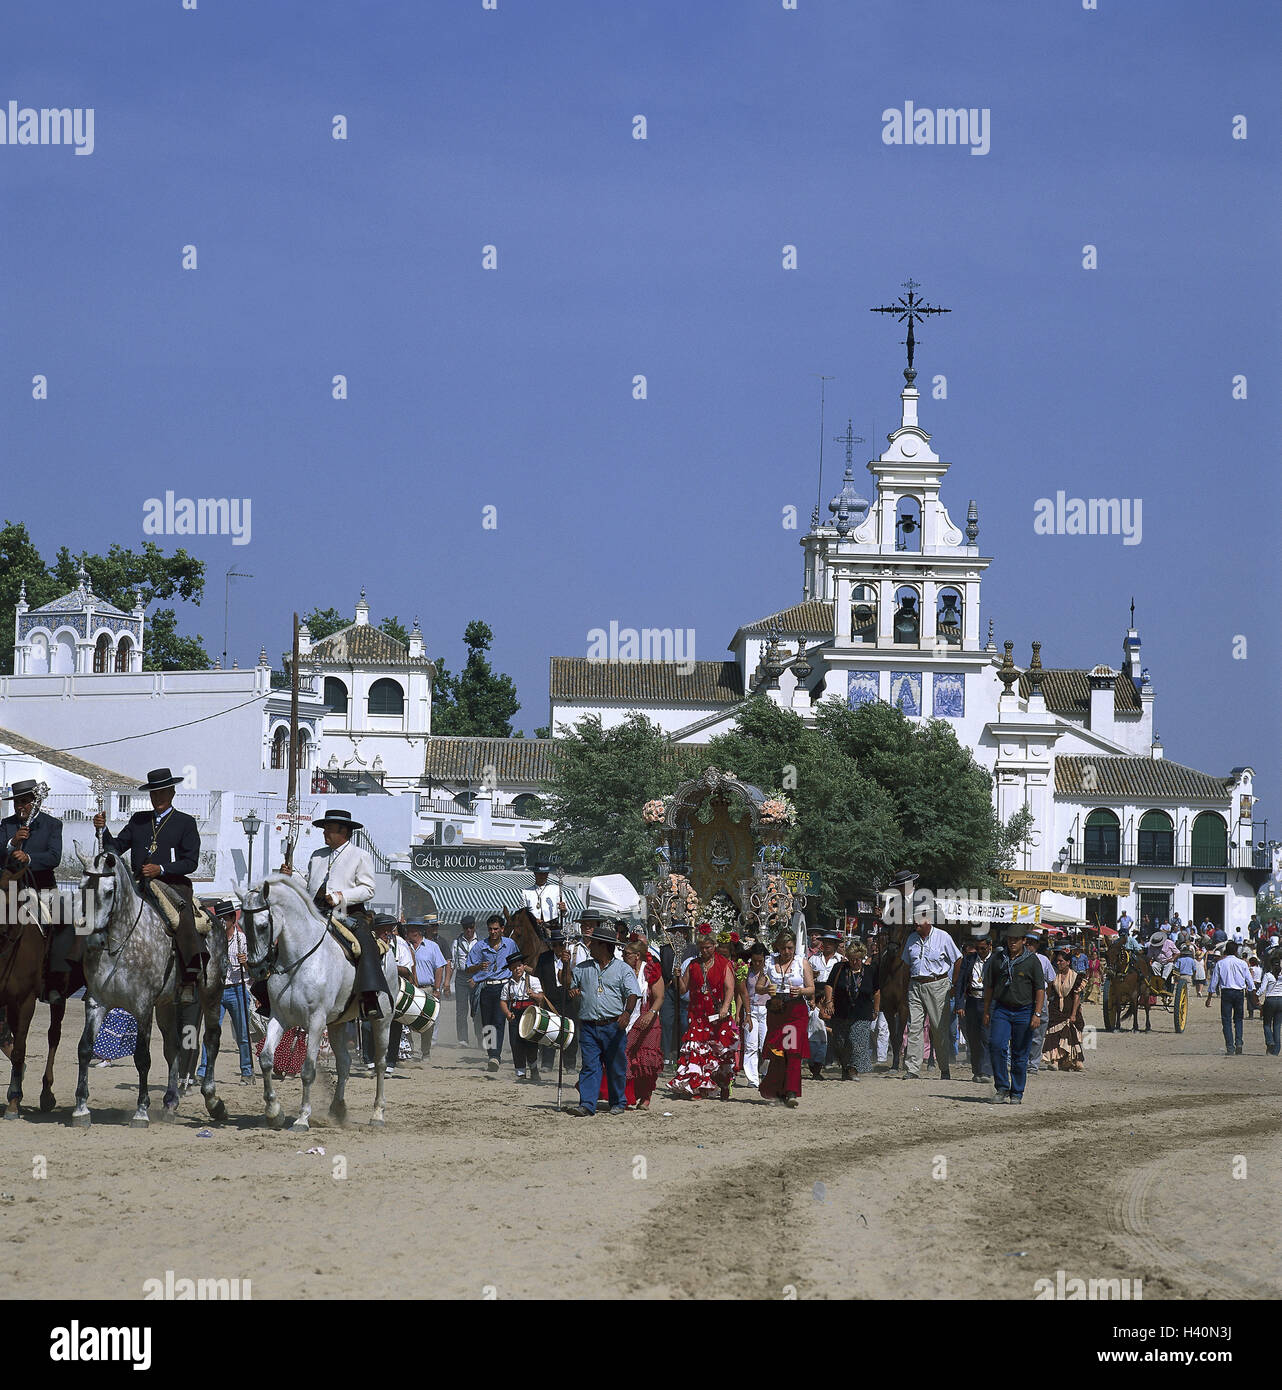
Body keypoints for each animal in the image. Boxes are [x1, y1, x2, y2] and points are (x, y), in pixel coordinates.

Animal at [71, 845, 229, 1128]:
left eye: (109, 892)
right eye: (82, 888)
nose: (94, 939)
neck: (121, 942)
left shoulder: (142, 1007)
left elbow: (142, 1057)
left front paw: (141, 1111)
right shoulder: (97, 1003)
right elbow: (85, 1048)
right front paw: (81, 1108)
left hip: (211, 993)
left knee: (211, 1038)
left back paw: (213, 1101)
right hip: (167, 1003)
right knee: (173, 1046)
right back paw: (170, 1101)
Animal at [239, 872, 394, 1134]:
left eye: (262, 926)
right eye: (241, 925)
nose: (257, 969)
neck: (300, 960)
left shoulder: (315, 1022)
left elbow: (308, 1070)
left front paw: (302, 1119)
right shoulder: (279, 1017)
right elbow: (267, 1059)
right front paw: (274, 1113)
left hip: (382, 1021)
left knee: (381, 1064)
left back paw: (378, 1114)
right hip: (338, 1024)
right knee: (344, 1063)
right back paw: (338, 1108)